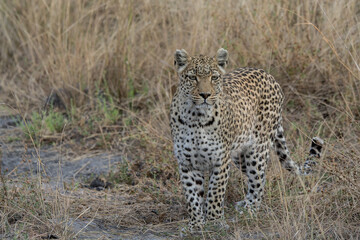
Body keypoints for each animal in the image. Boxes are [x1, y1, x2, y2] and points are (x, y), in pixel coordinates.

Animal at [169, 47, 324, 231]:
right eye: (193, 77)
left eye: (214, 78)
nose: (205, 94)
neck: (196, 118)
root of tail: (268, 75)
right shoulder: (186, 162)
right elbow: (192, 196)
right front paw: (195, 224)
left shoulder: (221, 160)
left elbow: (215, 193)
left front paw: (215, 222)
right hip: (239, 155)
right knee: (255, 178)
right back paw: (244, 204)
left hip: (257, 149)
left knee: (258, 179)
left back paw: (250, 209)